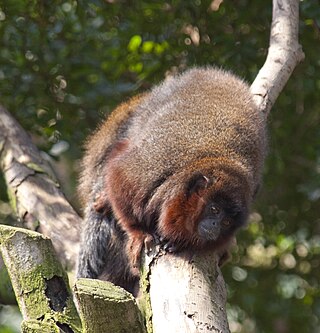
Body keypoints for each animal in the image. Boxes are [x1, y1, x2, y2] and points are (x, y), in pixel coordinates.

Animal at [77, 66, 268, 292]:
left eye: (227, 222)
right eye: (214, 210)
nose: (215, 225)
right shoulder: (153, 167)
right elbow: (118, 175)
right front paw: (138, 233)